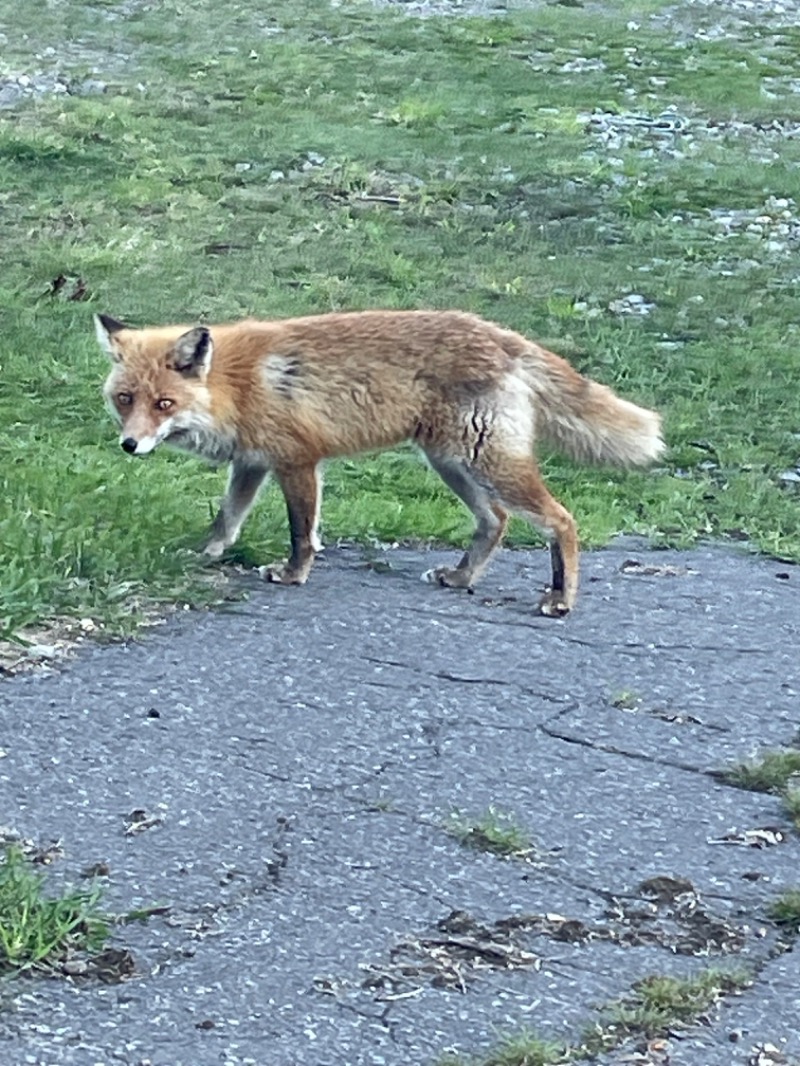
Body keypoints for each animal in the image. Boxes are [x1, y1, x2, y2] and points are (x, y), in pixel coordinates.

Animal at [97, 307, 665, 618]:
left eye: (163, 404)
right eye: (125, 399)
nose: (129, 445)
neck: (233, 386)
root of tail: (501, 335)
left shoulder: (298, 460)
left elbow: (302, 532)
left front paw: (294, 574)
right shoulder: (254, 462)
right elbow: (227, 518)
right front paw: (207, 553)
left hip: (488, 464)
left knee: (562, 520)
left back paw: (560, 599)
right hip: (451, 463)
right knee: (495, 521)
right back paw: (461, 577)